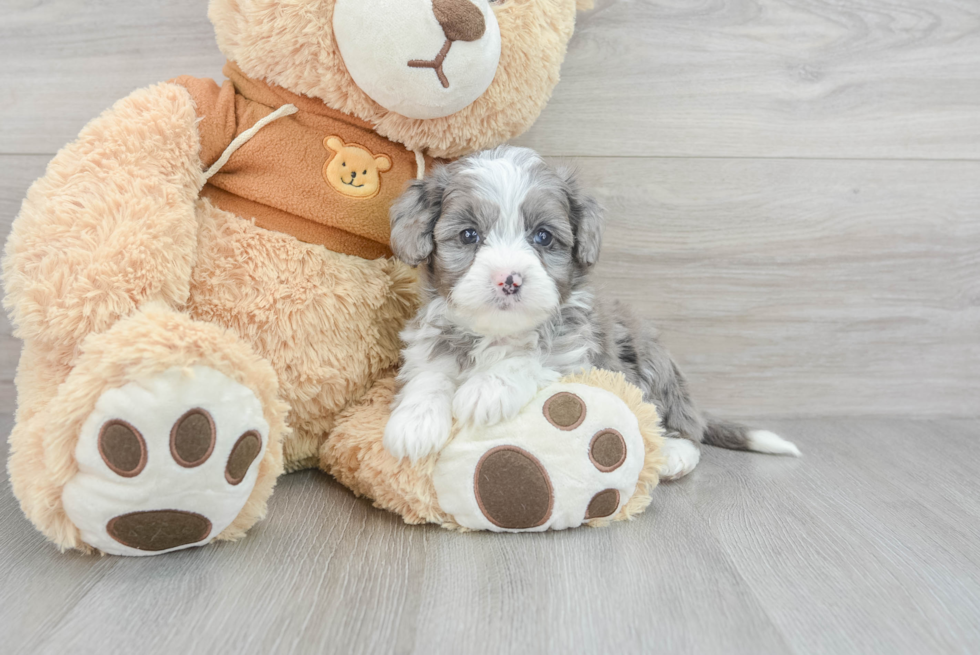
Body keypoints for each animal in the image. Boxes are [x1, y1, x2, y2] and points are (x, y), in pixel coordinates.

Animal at [380, 146, 796, 480]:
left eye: (543, 236)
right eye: (469, 235)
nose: (509, 280)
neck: (500, 333)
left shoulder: (580, 358)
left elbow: (534, 360)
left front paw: (489, 388)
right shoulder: (433, 341)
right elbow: (430, 374)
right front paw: (415, 422)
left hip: (651, 358)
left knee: (682, 422)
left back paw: (676, 451)